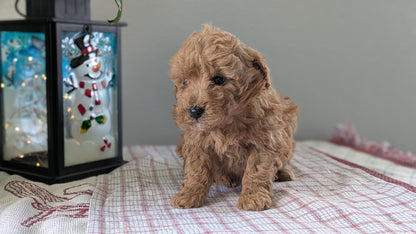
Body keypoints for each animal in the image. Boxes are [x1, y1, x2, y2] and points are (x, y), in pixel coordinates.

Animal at [167, 24, 298, 211]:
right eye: (185, 82)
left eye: (219, 79)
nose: (194, 111)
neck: (227, 121)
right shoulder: (197, 142)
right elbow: (196, 170)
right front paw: (189, 195)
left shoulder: (265, 139)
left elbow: (257, 170)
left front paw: (253, 198)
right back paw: (224, 179)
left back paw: (282, 173)